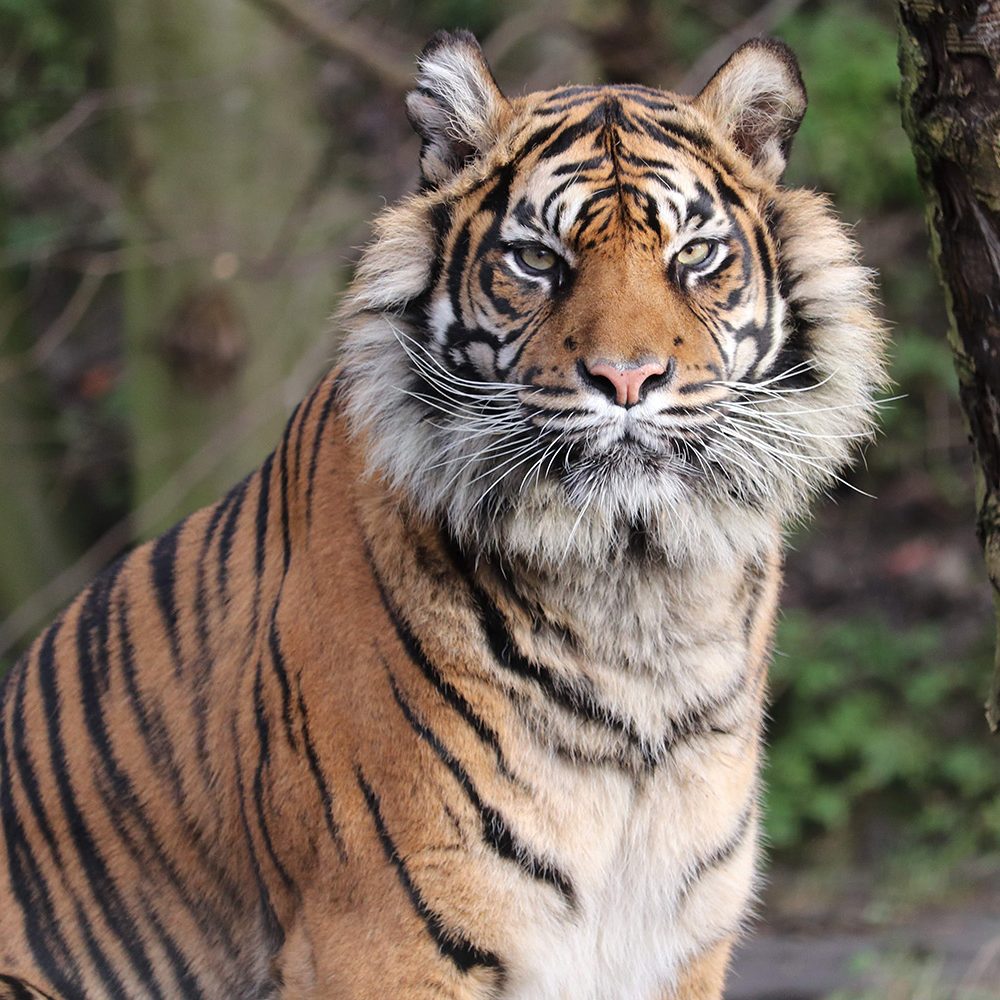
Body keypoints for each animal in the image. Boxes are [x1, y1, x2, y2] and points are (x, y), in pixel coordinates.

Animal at [0, 29, 892, 1000]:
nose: (627, 378)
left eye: (694, 254)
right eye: (537, 260)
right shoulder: (383, 935)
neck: (638, 602)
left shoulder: (678, 939)